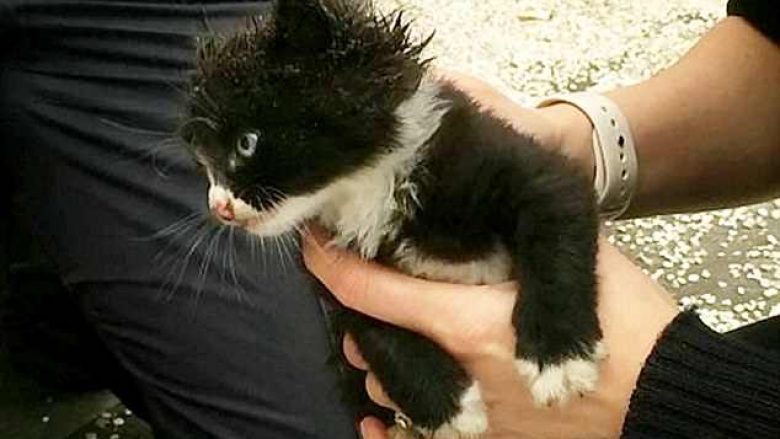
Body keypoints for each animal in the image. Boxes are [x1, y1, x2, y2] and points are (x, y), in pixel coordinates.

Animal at [181, 0, 604, 436]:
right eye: (202, 159)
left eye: (246, 143)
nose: (219, 207)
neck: (364, 189)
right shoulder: (343, 285)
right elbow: (376, 330)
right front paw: (448, 407)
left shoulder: (537, 173)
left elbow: (553, 230)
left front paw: (558, 358)